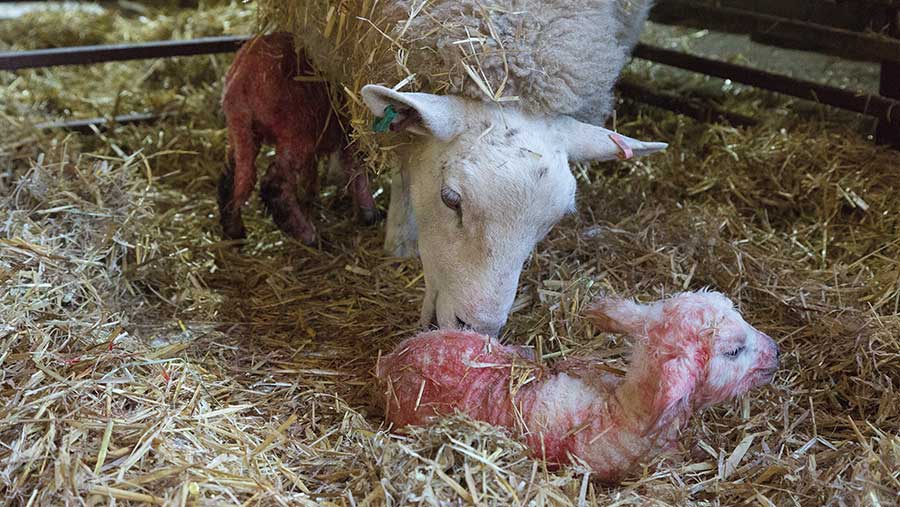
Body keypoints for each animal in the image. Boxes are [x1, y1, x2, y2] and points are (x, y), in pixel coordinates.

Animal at [220, 32, 378, 245]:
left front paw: (312, 196)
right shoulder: (351, 133)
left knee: (235, 175)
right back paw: (308, 236)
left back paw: (234, 231)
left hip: (241, 131)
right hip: (295, 132)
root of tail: (243, 79)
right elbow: (356, 168)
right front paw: (368, 213)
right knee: (275, 183)